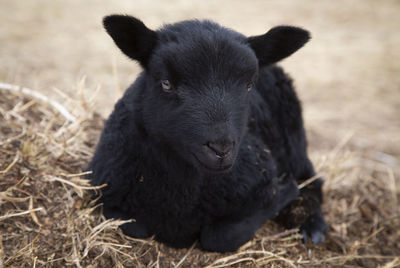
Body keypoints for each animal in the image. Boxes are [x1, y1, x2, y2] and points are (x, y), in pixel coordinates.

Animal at [90, 15, 328, 253]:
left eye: (249, 85)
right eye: (166, 83)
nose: (221, 148)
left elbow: (221, 236)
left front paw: (285, 192)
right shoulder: (106, 193)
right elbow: (132, 226)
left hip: (293, 141)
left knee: (311, 180)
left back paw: (312, 228)